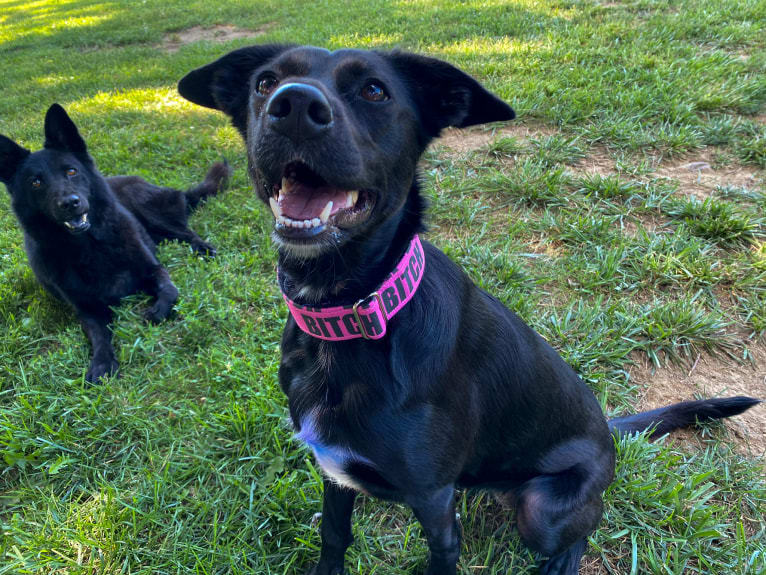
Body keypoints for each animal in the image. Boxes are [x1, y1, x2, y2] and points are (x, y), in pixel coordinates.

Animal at [0, 104, 230, 382]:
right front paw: (102, 362)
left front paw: (157, 310)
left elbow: (170, 291)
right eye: (36, 182)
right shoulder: (87, 308)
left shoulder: (153, 269)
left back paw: (203, 248)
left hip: (148, 207)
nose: (70, 203)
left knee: (185, 232)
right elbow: (99, 335)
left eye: (71, 171)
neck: (90, 246)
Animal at [178, 46, 760, 575]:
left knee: (579, 533)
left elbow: (440, 554)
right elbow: (334, 537)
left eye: (374, 90)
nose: (294, 103)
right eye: (265, 82)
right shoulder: (334, 471)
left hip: (543, 508)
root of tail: (607, 433)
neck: (349, 317)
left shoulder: (435, 503)